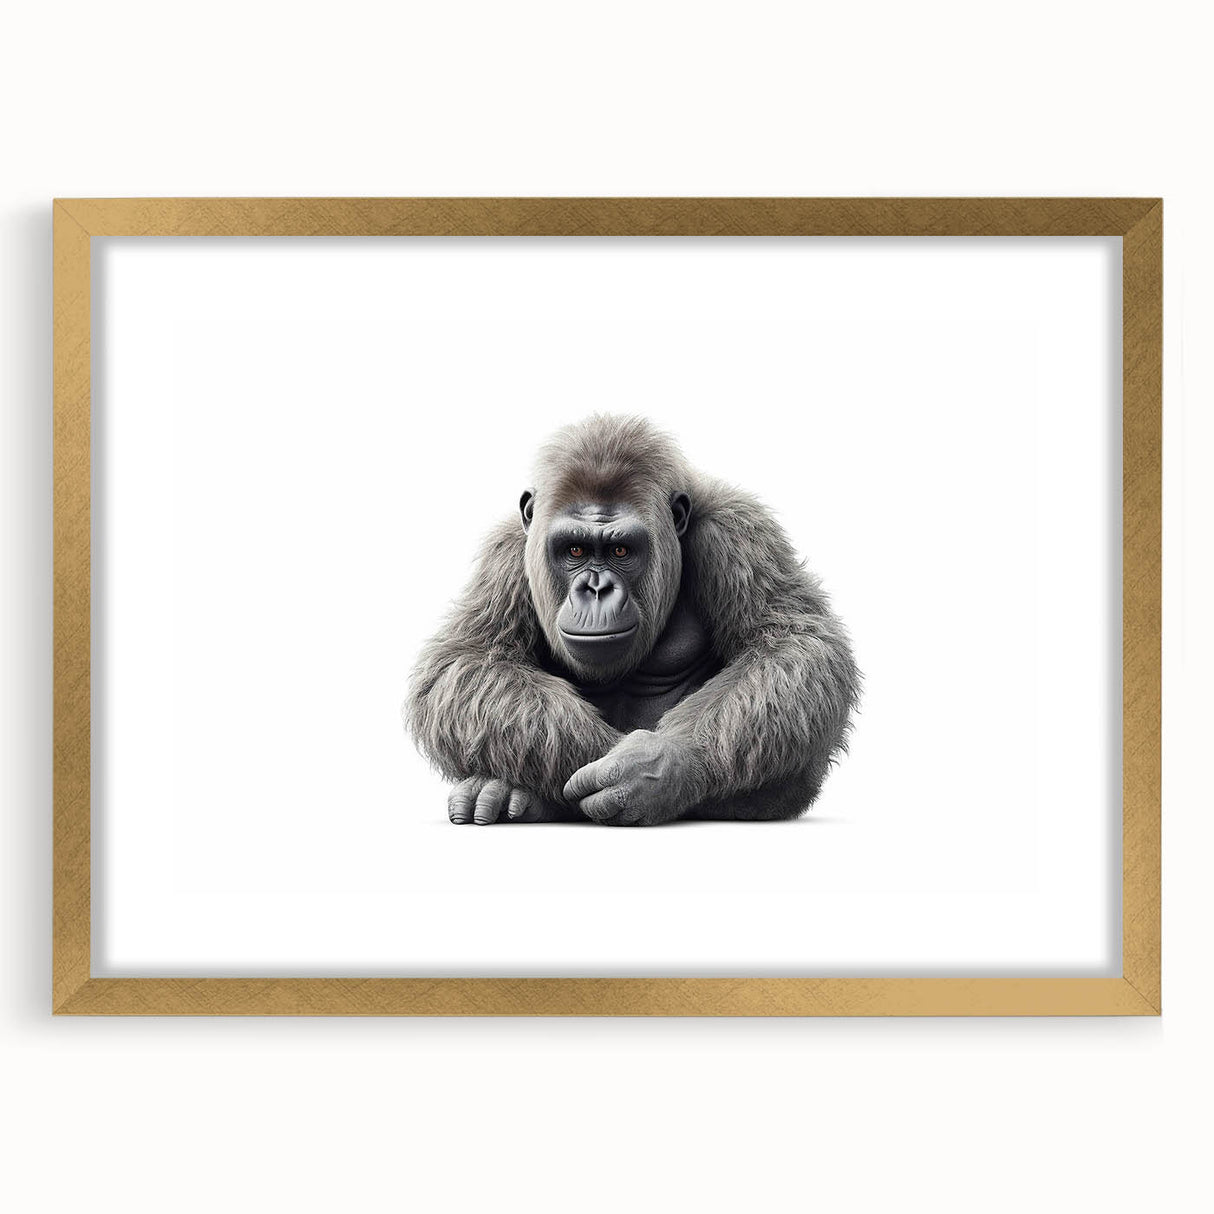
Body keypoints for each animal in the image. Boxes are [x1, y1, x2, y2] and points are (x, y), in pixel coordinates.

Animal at [404, 414, 859, 826]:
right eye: (574, 550)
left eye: (621, 551)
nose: (597, 589)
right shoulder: (507, 551)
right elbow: (469, 660)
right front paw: (595, 763)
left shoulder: (737, 530)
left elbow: (792, 644)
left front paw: (658, 767)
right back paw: (504, 792)